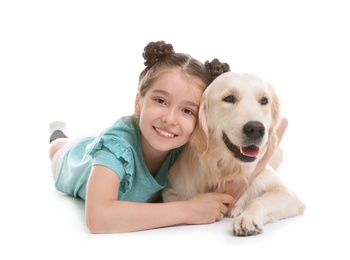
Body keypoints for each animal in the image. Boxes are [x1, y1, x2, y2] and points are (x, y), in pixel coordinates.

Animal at [163, 71, 304, 236]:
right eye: (229, 98)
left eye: (264, 100)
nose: (256, 129)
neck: (226, 169)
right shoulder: (170, 192)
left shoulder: (287, 193)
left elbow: (256, 200)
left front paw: (246, 218)